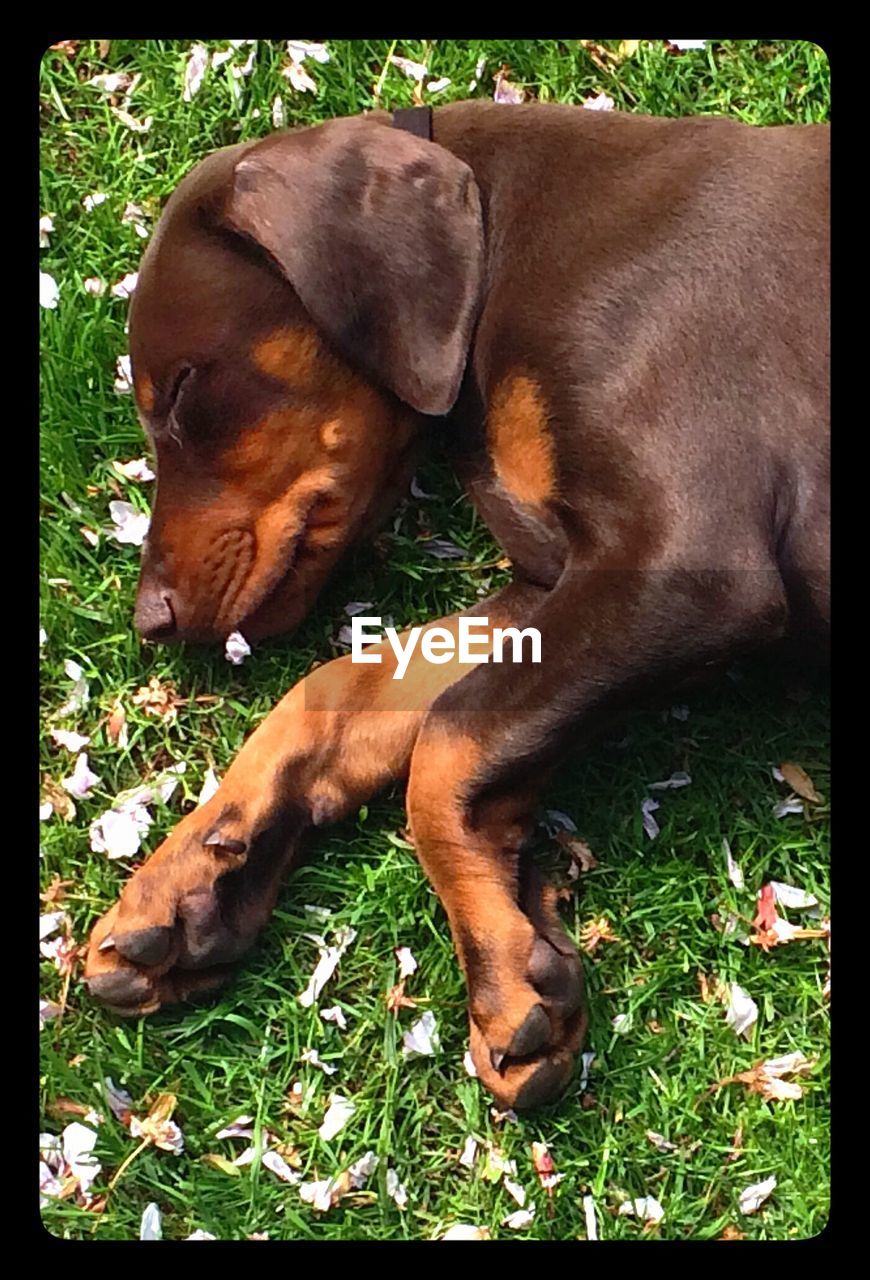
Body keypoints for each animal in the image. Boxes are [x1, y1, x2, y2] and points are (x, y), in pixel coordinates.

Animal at [83, 102, 829, 1111]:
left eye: (187, 391)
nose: (150, 620)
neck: (508, 240)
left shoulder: (686, 563)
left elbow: (449, 743)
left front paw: (507, 967)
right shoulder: (556, 581)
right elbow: (345, 687)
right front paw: (190, 878)